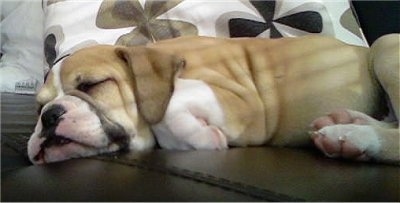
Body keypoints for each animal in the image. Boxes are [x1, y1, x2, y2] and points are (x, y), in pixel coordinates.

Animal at [26, 34, 398, 165]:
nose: (50, 115)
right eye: (38, 106)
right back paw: (348, 124)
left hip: (385, 46)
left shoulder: (245, 102)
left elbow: (169, 104)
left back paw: (354, 136)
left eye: (92, 85)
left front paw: (202, 136)